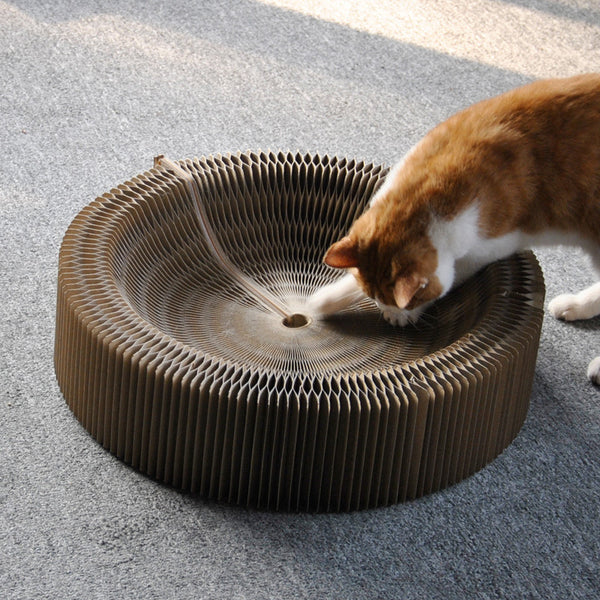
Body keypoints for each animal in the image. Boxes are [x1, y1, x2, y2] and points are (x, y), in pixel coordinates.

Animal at [308, 74, 600, 384]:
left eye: (404, 302)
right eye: (373, 297)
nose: (390, 314)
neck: (431, 187)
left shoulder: (487, 248)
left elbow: (451, 280)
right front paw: (324, 300)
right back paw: (574, 306)